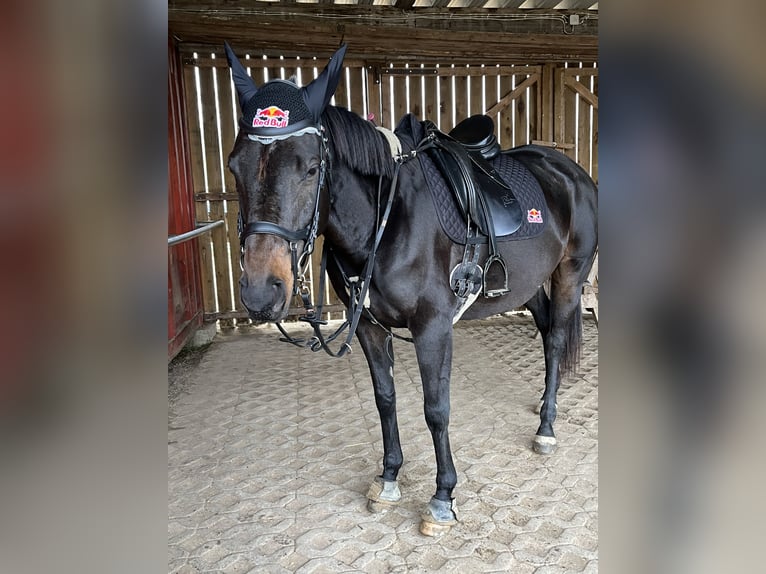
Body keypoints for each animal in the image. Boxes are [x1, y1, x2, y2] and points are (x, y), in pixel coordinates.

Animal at [224, 43, 598, 536]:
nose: (261, 293)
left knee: (555, 340)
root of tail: (570, 170)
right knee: (543, 330)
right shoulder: (368, 327)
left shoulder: (432, 328)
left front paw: (442, 498)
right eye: (235, 166)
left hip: (570, 274)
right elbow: (385, 399)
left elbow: (435, 409)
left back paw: (547, 428)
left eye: (311, 168)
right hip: (526, 284)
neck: (386, 221)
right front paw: (388, 478)